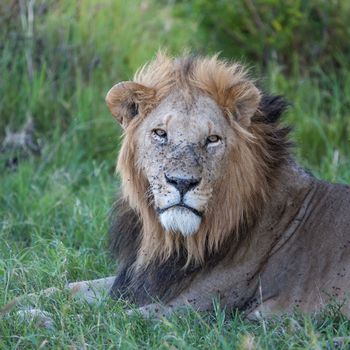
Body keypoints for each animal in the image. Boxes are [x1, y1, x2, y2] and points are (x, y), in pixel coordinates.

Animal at [4, 53, 350, 324]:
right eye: (160, 133)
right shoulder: (137, 282)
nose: (182, 182)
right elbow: (65, 288)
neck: (169, 241)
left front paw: (31, 318)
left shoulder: (200, 309)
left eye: (212, 139)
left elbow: (100, 319)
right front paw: (13, 303)